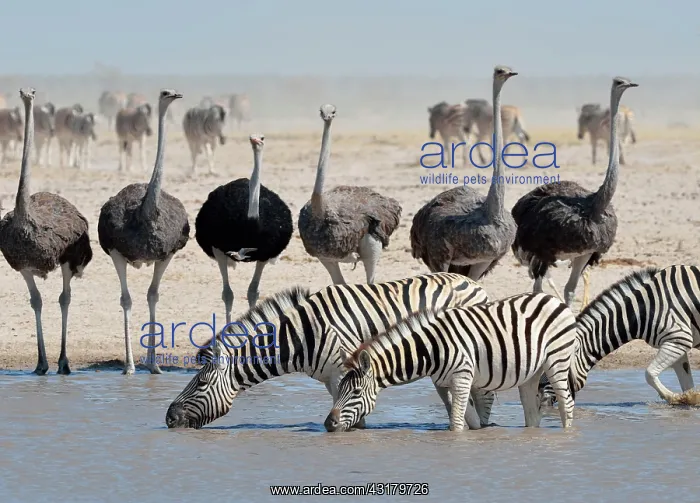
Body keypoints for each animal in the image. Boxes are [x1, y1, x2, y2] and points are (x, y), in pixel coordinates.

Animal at [165, 273, 492, 429]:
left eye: (201, 383)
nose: (168, 418)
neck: (301, 335)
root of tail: (472, 281)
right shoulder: (329, 379)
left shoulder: (344, 374)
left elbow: (354, 418)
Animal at [324, 292, 578, 433]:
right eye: (340, 388)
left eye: (356, 392)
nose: (328, 424)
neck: (430, 349)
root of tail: (554, 299)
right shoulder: (442, 383)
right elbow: (468, 420)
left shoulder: (462, 377)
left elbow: (456, 423)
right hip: (530, 373)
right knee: (532, 412)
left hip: (557, 360)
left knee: (567, 403)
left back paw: (567, 434)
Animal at [540, 265, 700, 408]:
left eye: (554, 371)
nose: (541, 402)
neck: (644, 309)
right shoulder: (676, 343)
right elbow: (686, 382)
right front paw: (690, 399)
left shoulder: (679, 339)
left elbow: (649, 374)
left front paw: (674, 398)